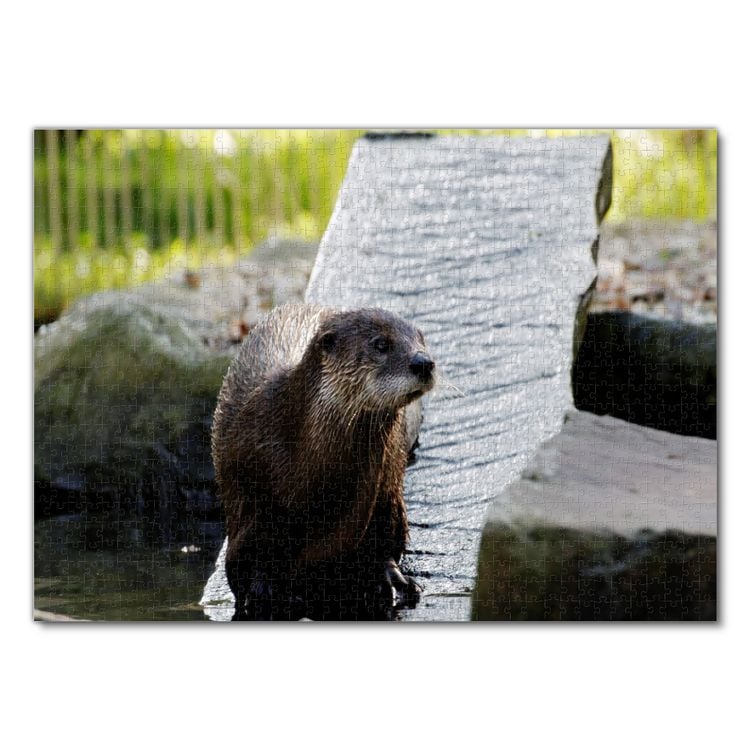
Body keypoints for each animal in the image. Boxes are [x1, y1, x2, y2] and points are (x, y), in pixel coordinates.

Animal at [211, 303, 435, 620]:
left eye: (421, 340)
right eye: (381, 344)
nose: (423, 362)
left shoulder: (385, 491)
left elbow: (385, 543)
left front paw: (393, 579)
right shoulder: (252, 502)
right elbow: (245, 567)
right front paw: (266, 593)